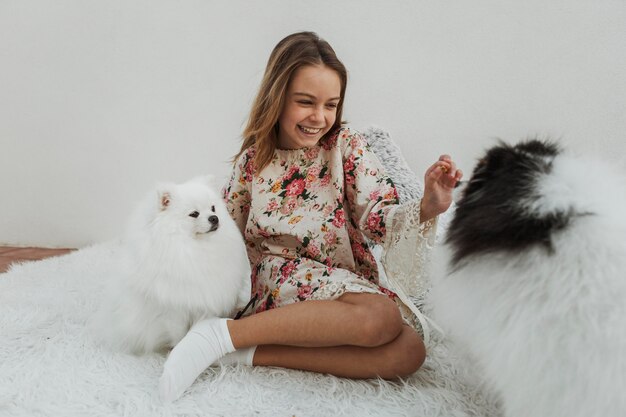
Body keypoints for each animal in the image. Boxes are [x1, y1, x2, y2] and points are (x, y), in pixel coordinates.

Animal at [92, 176, 249, 354]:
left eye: (213, 208)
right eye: (194, 214)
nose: (214, 218)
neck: (194, 249)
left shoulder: (202, 304)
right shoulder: (174, 311)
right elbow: (179, 335)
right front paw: (177, 349)